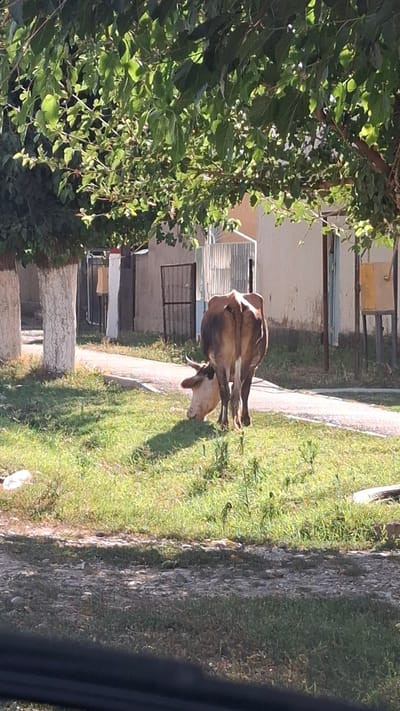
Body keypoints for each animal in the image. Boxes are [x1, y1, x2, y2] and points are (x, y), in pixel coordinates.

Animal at [181, 290, 267, 430]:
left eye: (196, 387)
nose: (190, 414)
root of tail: (235, 300)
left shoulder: (217, 365)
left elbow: (223, 391)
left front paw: (221, 419)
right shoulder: (253, 367)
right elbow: (244, 391)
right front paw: (245, 419)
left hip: (222, 360)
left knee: (226, 391)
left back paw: (224, 423)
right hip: (247, 360)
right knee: (237, 390)